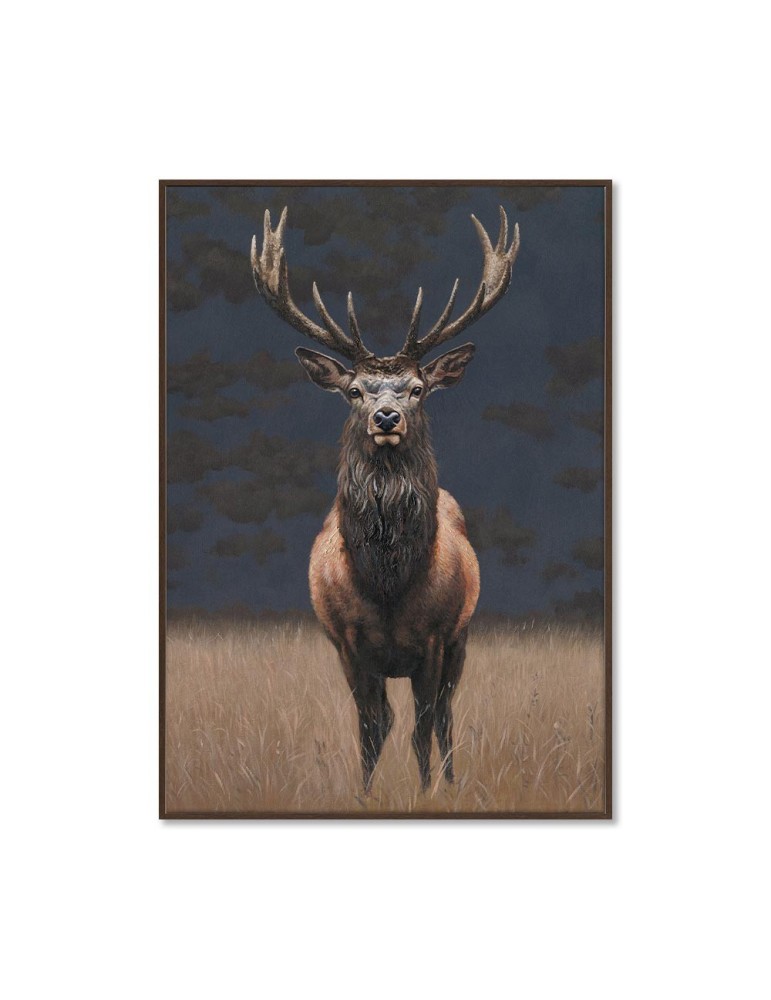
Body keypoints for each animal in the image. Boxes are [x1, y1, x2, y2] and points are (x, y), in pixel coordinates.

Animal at [251, 204, 520, 793]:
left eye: (417, 388)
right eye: (355, 390)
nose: (387, 416)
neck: (388, 582)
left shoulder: (437, 637)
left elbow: (423, 725)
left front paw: (426, 791)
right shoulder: (348, 643)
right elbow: (371, 728)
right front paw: (366, 794)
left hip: (463, 638)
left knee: (443, 716)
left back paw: (451, 780)